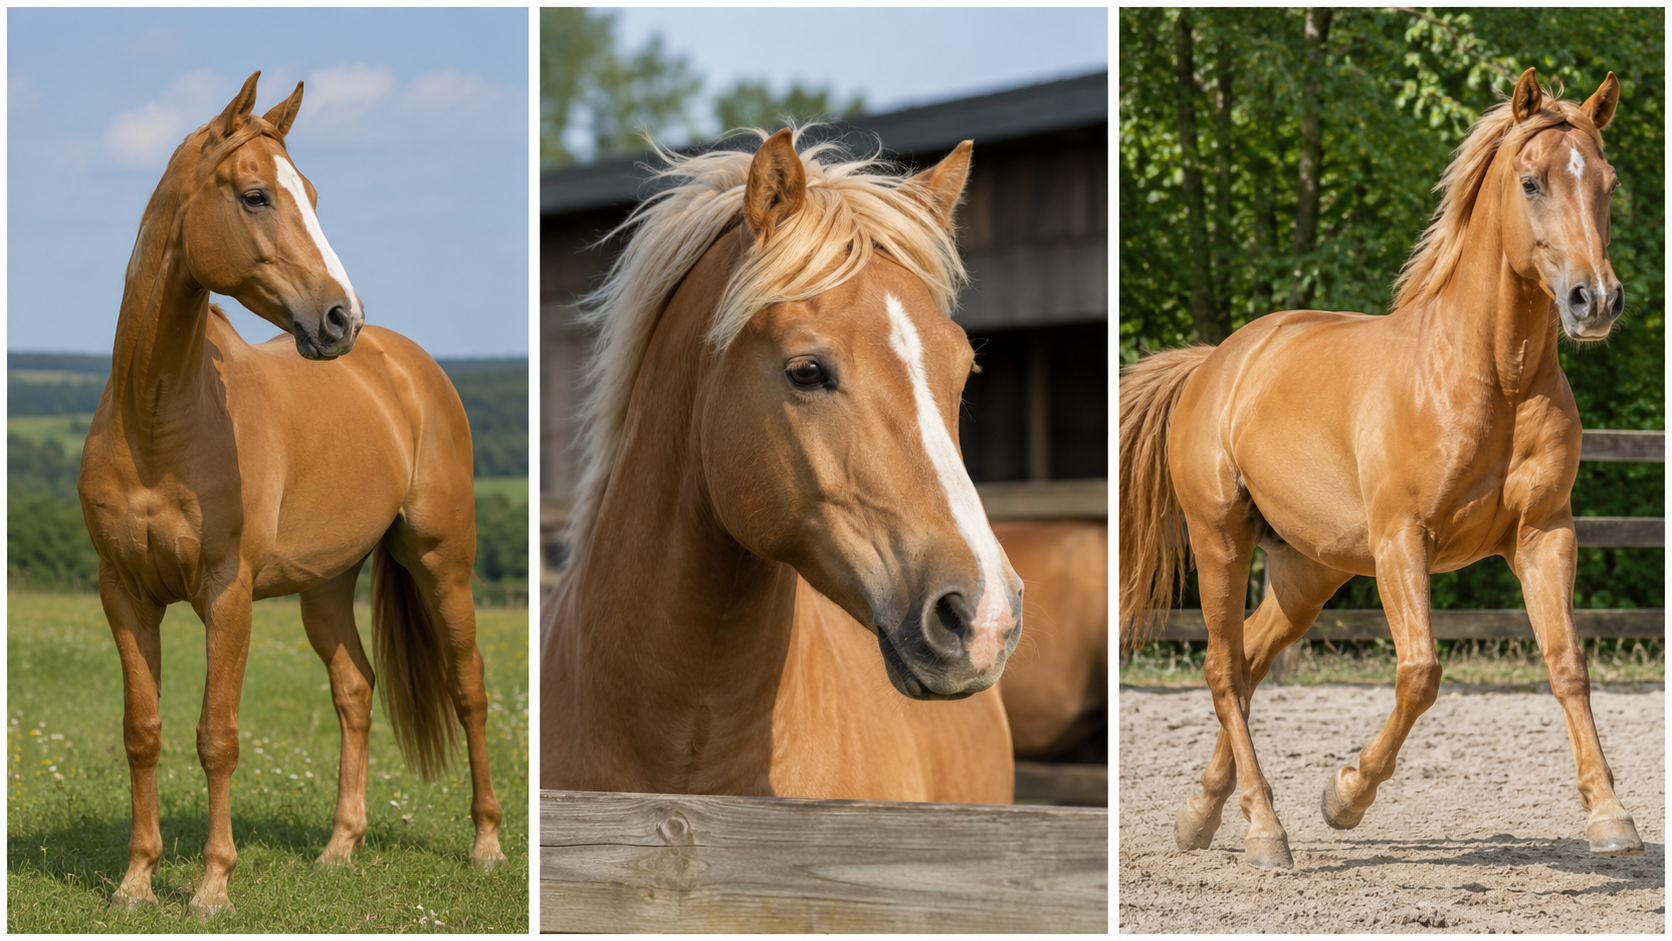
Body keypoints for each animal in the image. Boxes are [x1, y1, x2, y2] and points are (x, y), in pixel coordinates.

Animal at [76, 72, 504, 918]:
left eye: (308, 191)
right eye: (255, 196)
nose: (341, 317)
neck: (161, 418)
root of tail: (408, 365)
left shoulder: (227, 592)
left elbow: (217, 734)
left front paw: (212, 885)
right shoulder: (125, 593)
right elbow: (143, 729)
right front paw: (137, 880)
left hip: (443, 562)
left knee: (468, 688)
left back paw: (486, 844)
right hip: (327, 585)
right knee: (355, 689)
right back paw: (340, 847)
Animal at [1118, 68, 1642, 869]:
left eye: (1607, 183)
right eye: (1531, 181)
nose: (1596, 301)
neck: (1491, 379)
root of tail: (1214, 364)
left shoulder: (1545, 534)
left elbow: (1568, 666)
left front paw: (1611, 816)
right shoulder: (1404, 540)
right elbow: (1420, 673)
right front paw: (1345, 795)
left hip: (1308, 570)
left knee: (1252, 661)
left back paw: (1201, 813)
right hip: (1220, 539)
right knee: (1223, 668)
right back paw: (1265, 829)